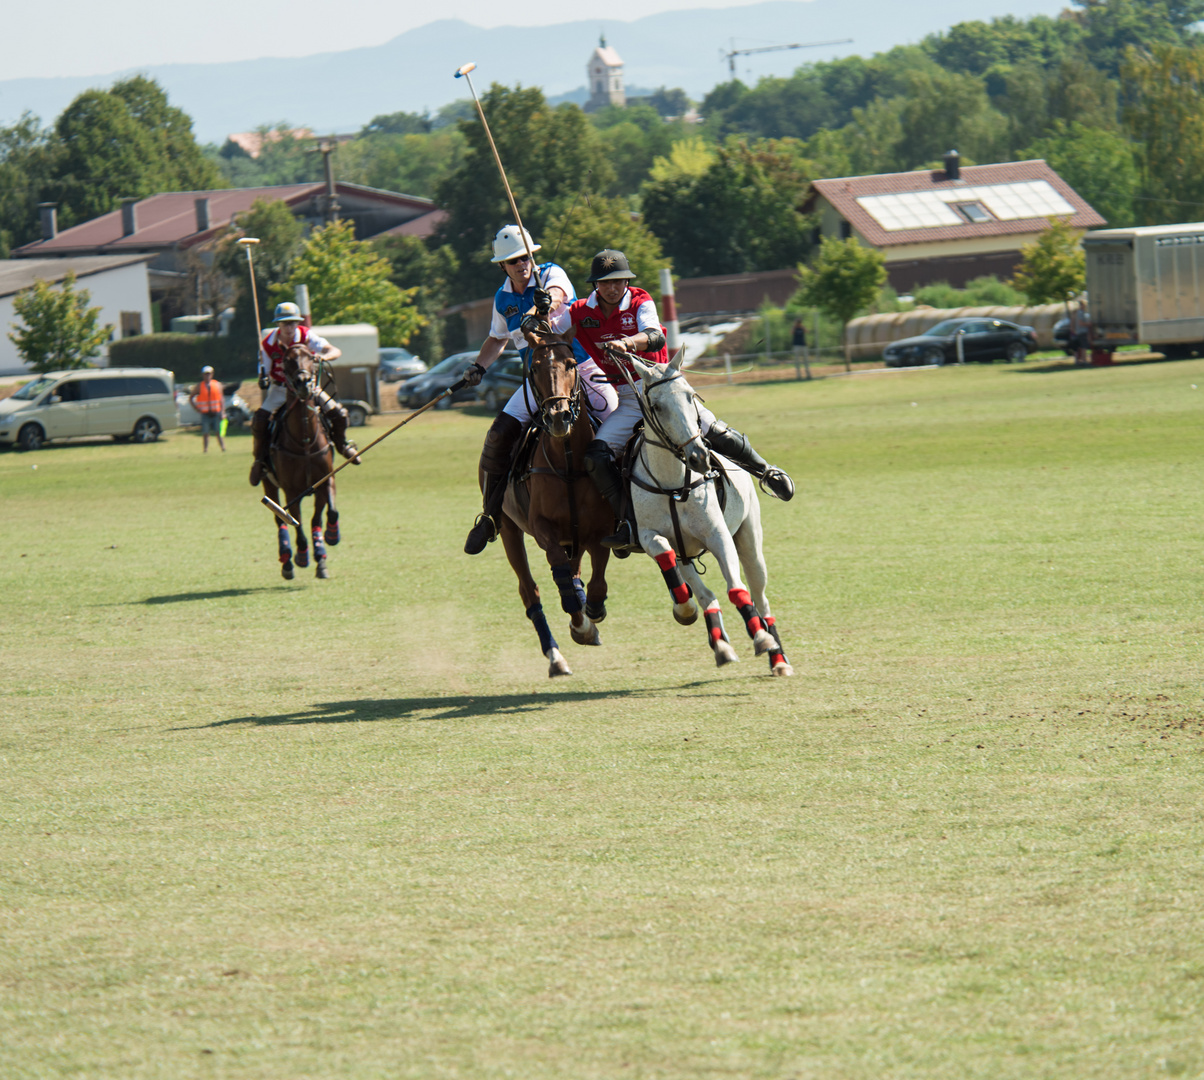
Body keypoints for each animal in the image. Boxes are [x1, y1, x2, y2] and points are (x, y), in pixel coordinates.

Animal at [263, 346, 339, 582]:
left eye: (312, 359)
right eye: (286, 361)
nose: (303, 383)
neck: (305, 442)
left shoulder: (326, 480)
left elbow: (326, 515)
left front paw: (329, 540)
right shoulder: (291, 490)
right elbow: (296, 523)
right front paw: (302, 556)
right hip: (268, 484)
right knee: (280, 521)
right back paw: (287, 560)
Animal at [493, 325, 616, 674]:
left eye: (571, 363)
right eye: (534, 368)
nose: (559, 418)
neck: (568, 462)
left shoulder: (599, 530)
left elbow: (596, 581)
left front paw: (590, 617)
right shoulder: (542, 528)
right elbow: (562, 577)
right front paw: (581, 625)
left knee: (575, 574)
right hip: (508, 529)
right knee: (529, 589)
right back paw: (555, 656)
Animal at [621, 353, 789, 674]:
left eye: (691, 396)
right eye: (656, 406)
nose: (699, 457)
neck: (673, 484)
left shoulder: (718, 535)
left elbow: (737, 589)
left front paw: (762, 639)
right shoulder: (651, 536)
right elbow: (666, 556)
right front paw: (684, 608)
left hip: (750, 542)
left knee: (760, 596)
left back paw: (778, 658)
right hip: (686, 556)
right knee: (704, 593)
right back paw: (720, 644)